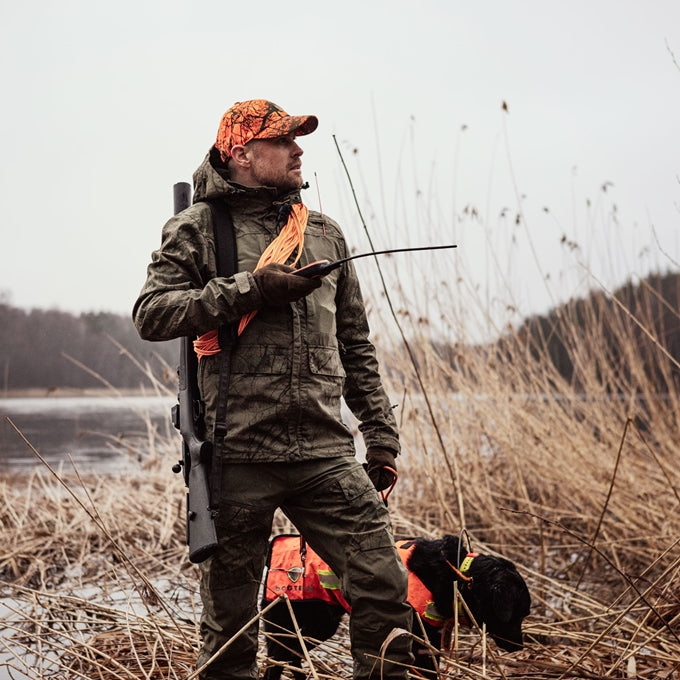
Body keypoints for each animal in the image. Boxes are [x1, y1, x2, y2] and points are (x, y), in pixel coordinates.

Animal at [260, 536, 532, 680]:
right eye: (517, 614)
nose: (520, 646)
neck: (456, 575)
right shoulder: (419, 641)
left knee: (291, 654)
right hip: (305, 622)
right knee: (279, 657)